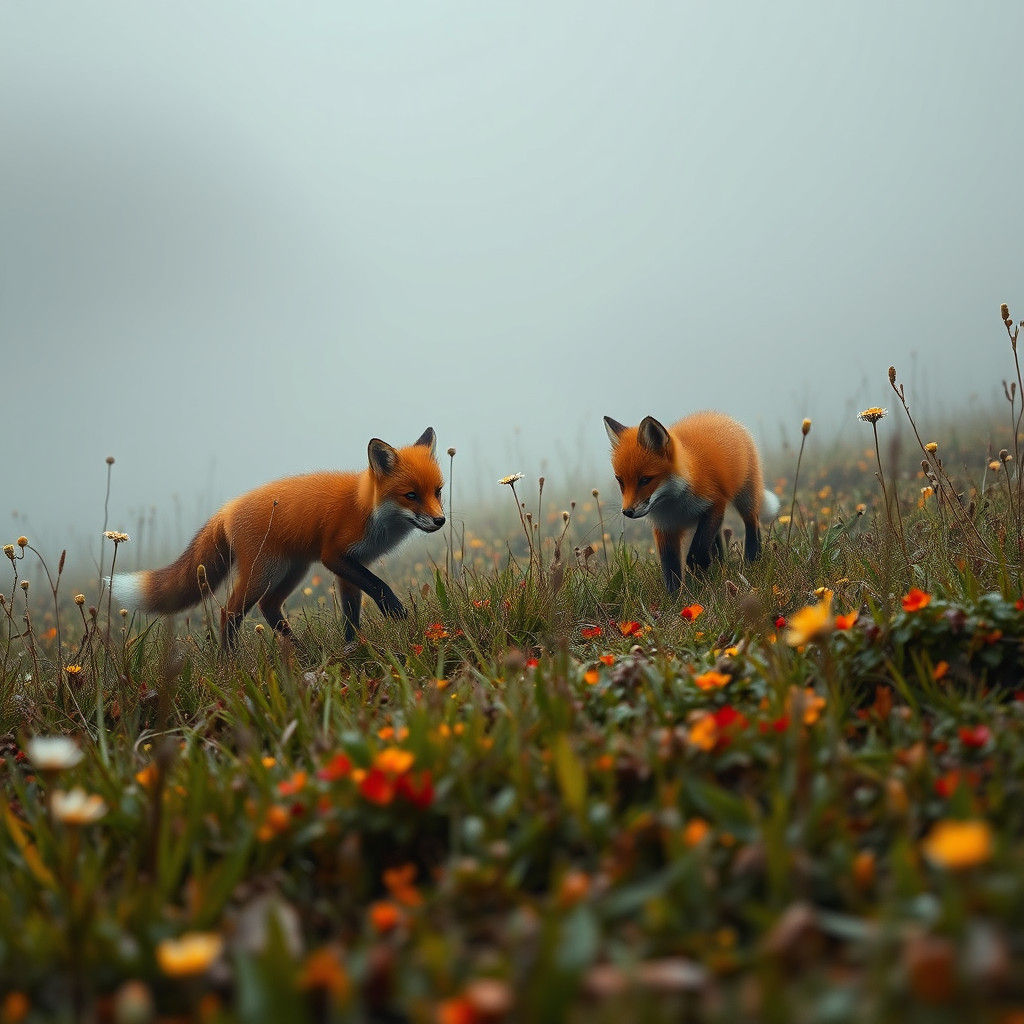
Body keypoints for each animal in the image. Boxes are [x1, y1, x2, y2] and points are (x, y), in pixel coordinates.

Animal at [109, 427, 445, 646]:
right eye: (411, 495)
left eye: (438, 492)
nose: (440, 520)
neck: (366, 509)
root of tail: (227, 508)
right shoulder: (334, 555)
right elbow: (380, 587)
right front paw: (397, 613)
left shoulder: (351, 565)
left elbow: (352, 613)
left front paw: (353, 646)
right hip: (263, 572)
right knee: (228, 612)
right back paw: (229, 665)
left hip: (292, 571)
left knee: (269, 607)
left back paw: (299, 650)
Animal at [603, 411, 779, 594]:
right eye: (620, 481)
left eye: (645, 480)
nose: (627, 512)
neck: (673, 504)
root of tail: (718, 415)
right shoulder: (665, 527)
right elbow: (670, 568)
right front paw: (676, 597)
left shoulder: (714, 504)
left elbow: (696, 551)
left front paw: (700, 578)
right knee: (718, 541)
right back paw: (720, 564)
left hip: (744, 496)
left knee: (752, 523)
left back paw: (752, 559)